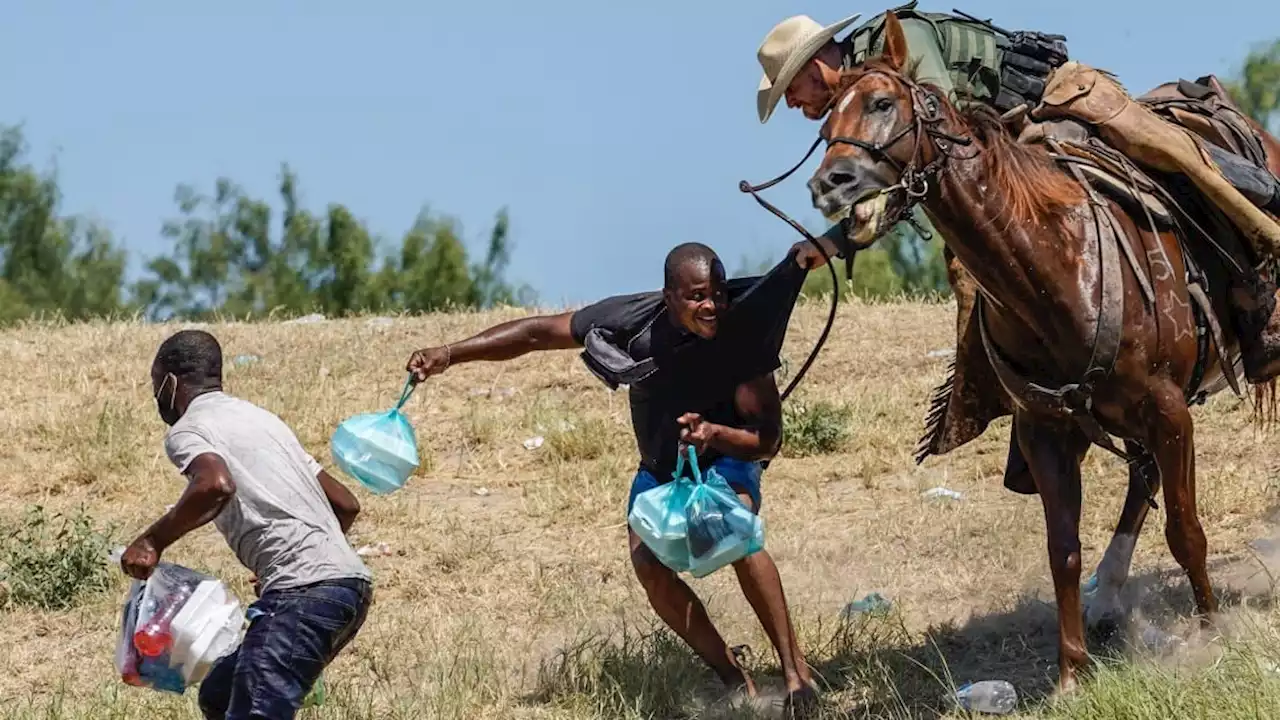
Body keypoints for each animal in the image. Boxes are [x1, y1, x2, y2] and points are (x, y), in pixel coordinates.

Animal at [803, 11, 1274, 691]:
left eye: (883, 103)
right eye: (823, 126)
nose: (828, 184)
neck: (1057, 262)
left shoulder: (1169, 411)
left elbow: (1185, 530)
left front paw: (1210, 634)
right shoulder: (1046, 430)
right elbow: (1064, 551)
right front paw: (1071, 671)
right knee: (1139, 481)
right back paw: (1109, 596)